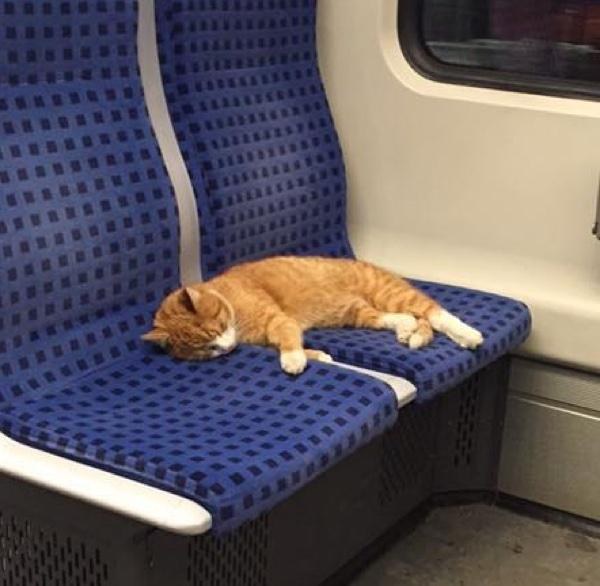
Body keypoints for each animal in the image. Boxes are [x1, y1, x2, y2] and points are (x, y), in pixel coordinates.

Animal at [144, 256, 482, 374]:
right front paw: (319, 356)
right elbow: (294, 346)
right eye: (206, 348)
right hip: (356, 311)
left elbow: (288, 341)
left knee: (435, 313)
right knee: (391, 318)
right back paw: (405, 329)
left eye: (217, 329)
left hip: (392, 294)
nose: (226, 349)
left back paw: (469, 335)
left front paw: (295, 359)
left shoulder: (279, 322)